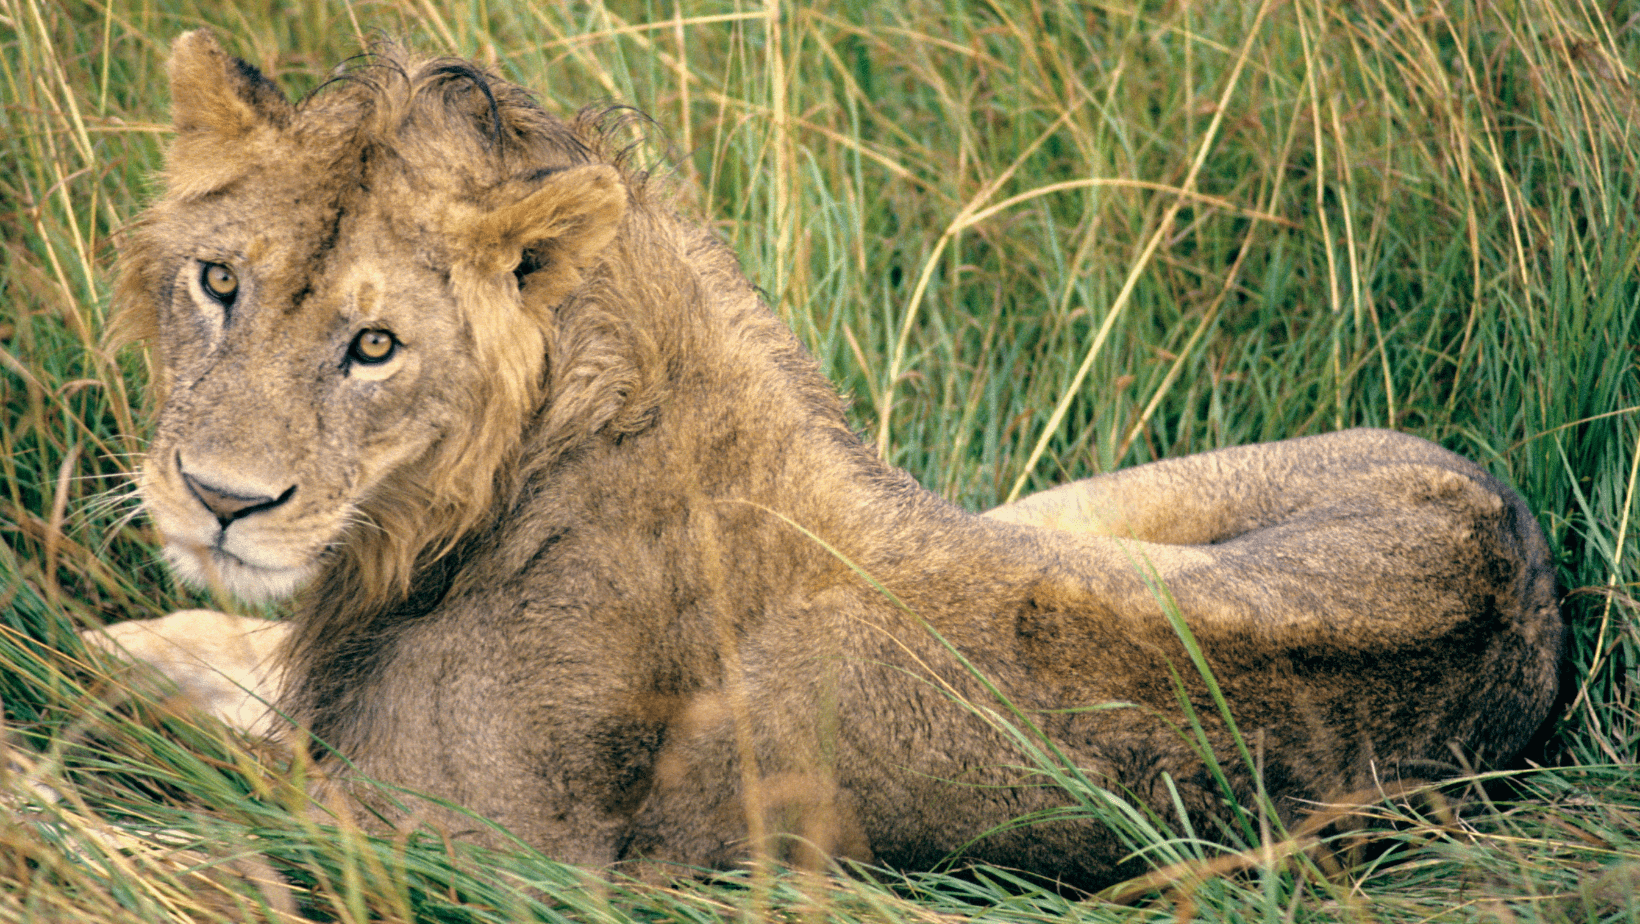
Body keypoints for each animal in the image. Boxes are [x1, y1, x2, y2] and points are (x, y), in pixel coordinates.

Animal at [115, 32, 1561, 892]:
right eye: (218, 281)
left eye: (375, 346)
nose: (221, 500)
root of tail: (1525, 553)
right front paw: (161, 648)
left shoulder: (482, 854)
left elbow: (200, 812)